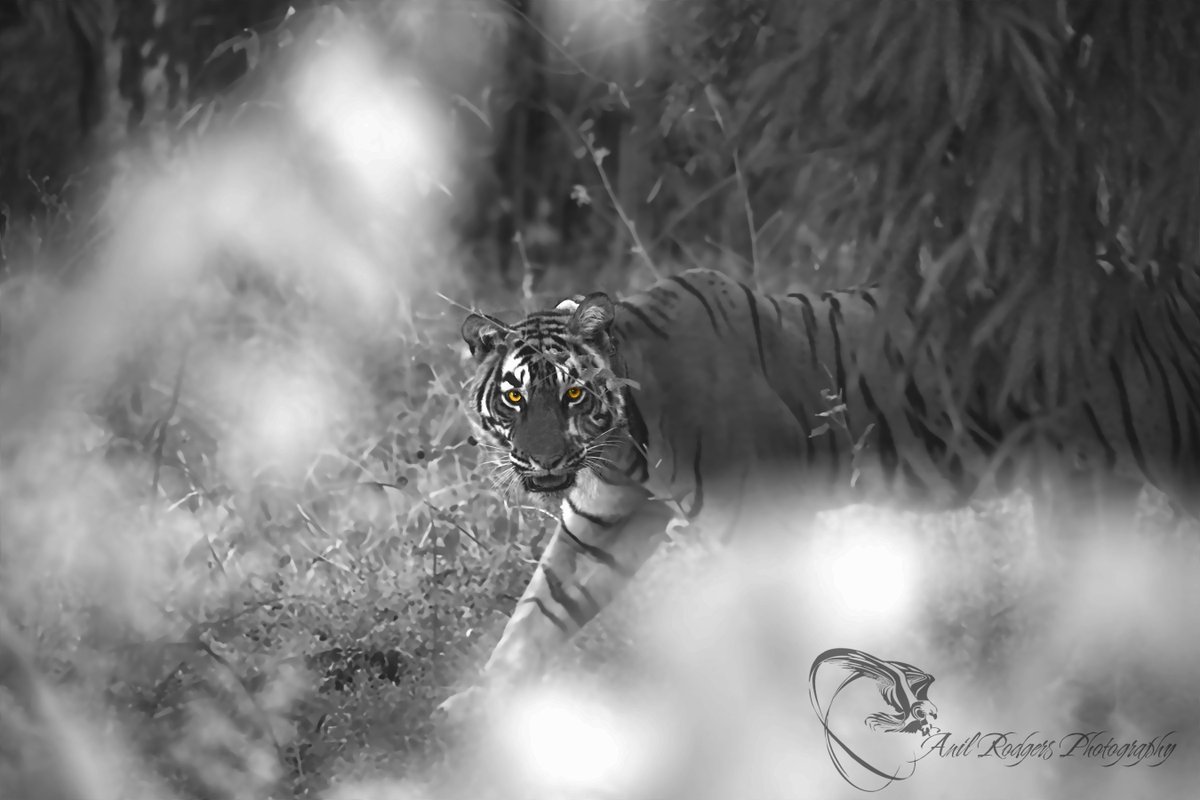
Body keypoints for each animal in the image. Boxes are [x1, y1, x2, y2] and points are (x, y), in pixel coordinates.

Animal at [439, 267, 1200, 716]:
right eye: (513, 395)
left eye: (572, 393)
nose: (542, 461)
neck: (626, 446)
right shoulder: (602, 523)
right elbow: (538, 612)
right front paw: (478, 705)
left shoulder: (763, 522)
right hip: (1083, 485)